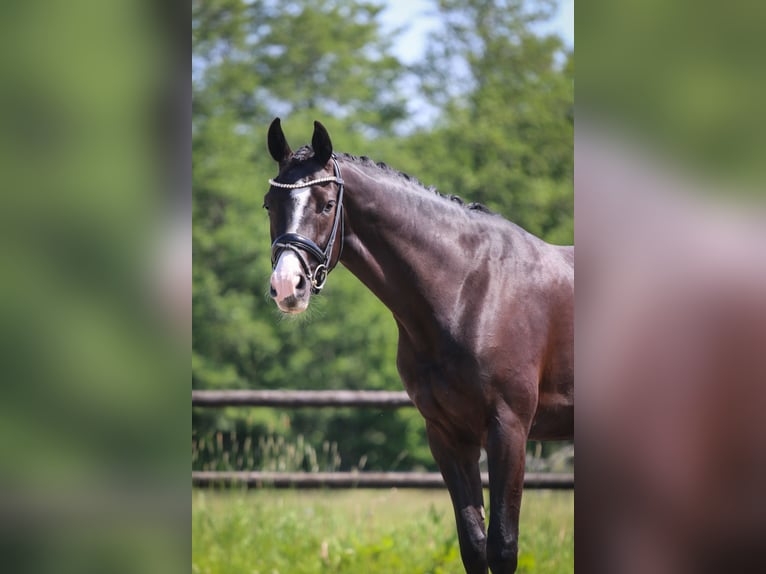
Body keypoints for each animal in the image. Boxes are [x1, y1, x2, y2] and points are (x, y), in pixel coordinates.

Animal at [264, 118, 574, 574]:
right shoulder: (447, 435)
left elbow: (503, 547)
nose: (288, 286)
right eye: (270, 204)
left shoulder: (510, 430)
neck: (469, 289)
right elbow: (474, 545)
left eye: (326, 204)